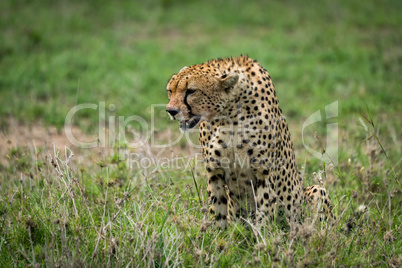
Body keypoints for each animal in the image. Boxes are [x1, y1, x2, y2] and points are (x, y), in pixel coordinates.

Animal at [166, 56, 332, 228]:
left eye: (191, 91)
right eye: (170, 91)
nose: (170, 111)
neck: (228, 115)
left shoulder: (264, 172)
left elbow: (264, 212)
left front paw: (262, 234)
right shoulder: (214, 171)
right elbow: (218, 211)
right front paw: (218, 234)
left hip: (314, 192)